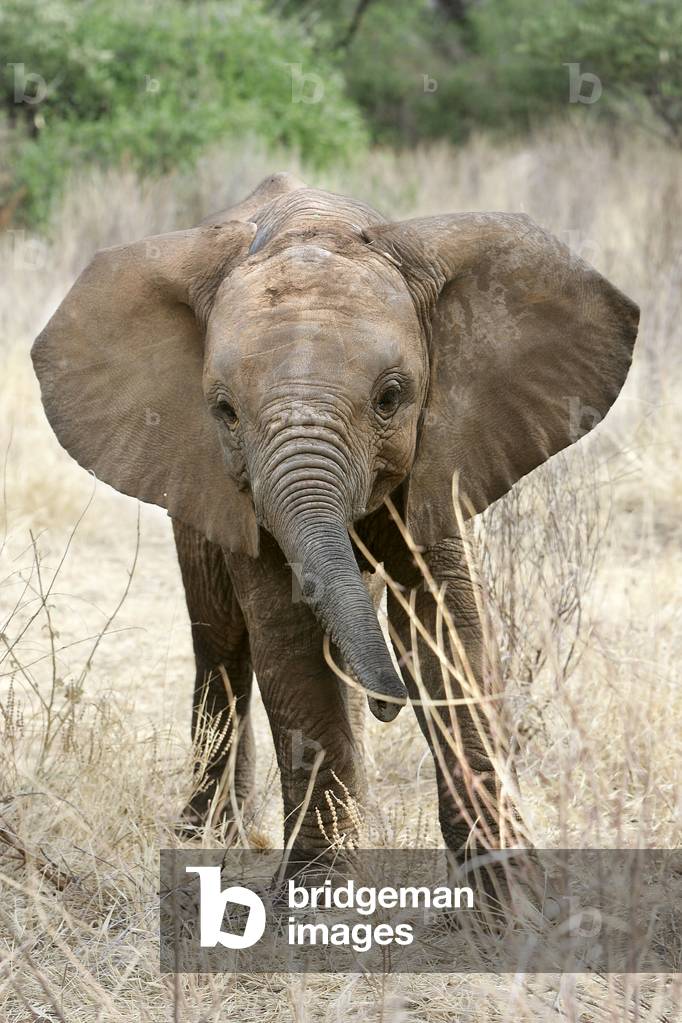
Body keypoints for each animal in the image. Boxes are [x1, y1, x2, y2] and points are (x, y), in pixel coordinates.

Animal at [31, 172, 638, 857]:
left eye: (391, 398)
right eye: (225, 412)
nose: (388, 703)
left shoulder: (445, 454)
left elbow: (447, 619)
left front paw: (506, 883)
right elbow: (289, 636)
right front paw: (319, 881)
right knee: (221, 642)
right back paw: (212, 835)